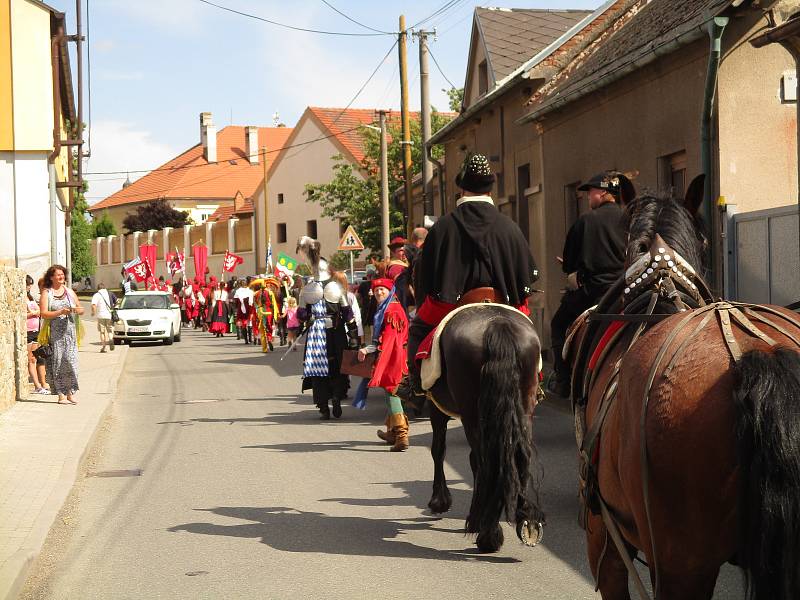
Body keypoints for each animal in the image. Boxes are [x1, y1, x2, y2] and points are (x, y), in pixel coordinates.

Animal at [424, 304, 544, 552]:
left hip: (471, 413)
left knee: (484, 460)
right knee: (520, 457)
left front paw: (440, 501)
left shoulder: (435, 405)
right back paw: (524, 520)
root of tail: (498, 324)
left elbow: (438, 449)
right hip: (523, 408)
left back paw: (488, 533)